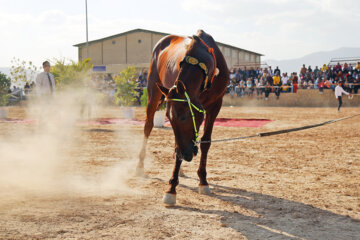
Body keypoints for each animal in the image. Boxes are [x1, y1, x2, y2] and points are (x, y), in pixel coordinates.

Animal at [136, 30, 229, 205]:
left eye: (185, 117)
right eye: (169, 118)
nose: (186, 154)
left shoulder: (215, 106)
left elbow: (206, 142)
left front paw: (203, 181)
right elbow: (177, 145)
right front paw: (171, 189)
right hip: (153, 91)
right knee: (148, 126)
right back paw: (140, 165)